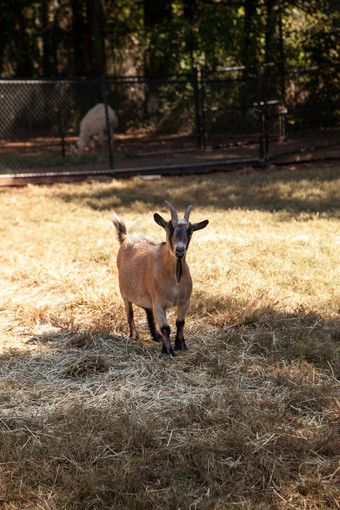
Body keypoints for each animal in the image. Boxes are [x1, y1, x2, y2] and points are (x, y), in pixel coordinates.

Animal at [112, 201, 207, 356]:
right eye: (169, 228)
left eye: (191, 231)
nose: (179, 250)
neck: (175, 279)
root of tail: (125, 238)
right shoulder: (159, 303)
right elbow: (166, 328)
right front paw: (168, 351)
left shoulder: (185, 301)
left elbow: (180, 322)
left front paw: (180, 345)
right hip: (124, 292)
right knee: (129, 312)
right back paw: (134, 335)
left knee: (148, 310)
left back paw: (155, 335)